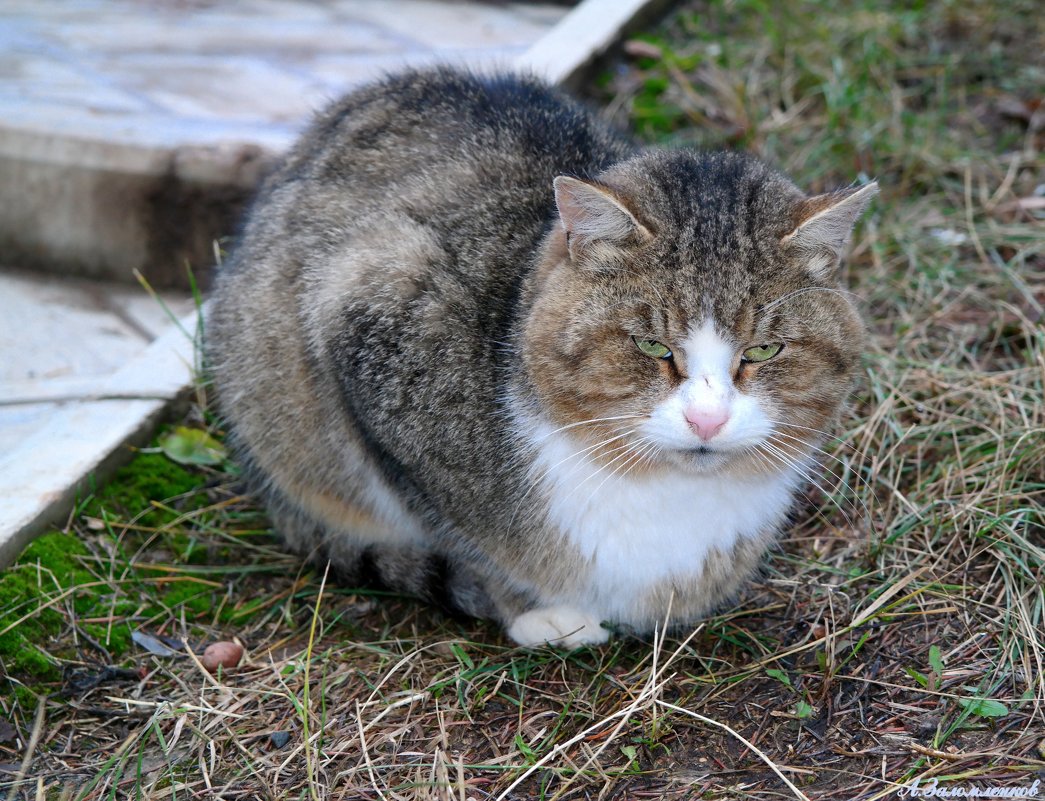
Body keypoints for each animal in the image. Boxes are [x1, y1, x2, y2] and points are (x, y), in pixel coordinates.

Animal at [203, 65, 873, 647]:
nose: (706, 420)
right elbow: (463, 535)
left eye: (764, 349)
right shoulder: (365, 319)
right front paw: (533, 611)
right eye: (652, 346)